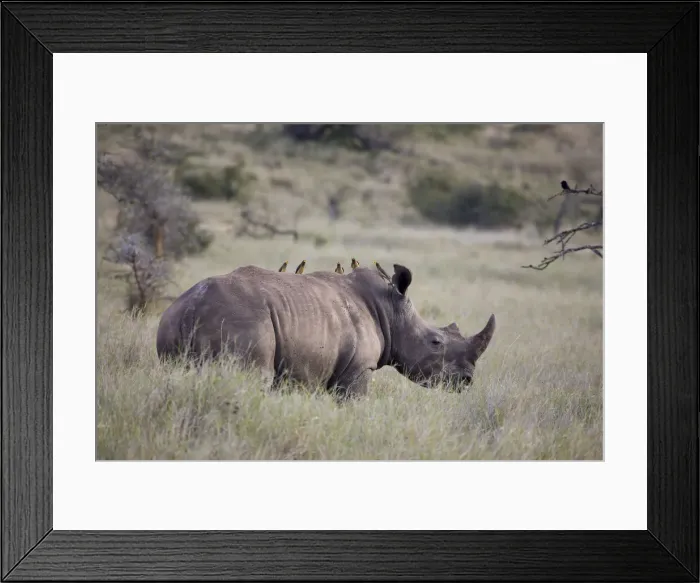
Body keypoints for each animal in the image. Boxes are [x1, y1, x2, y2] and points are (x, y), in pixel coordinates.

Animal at [156, 263, 496, 399]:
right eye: (435, 342)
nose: (466, 381)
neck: (391, 310)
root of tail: (192, 306)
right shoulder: (358, 368)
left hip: (170, 324)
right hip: (241, 320)